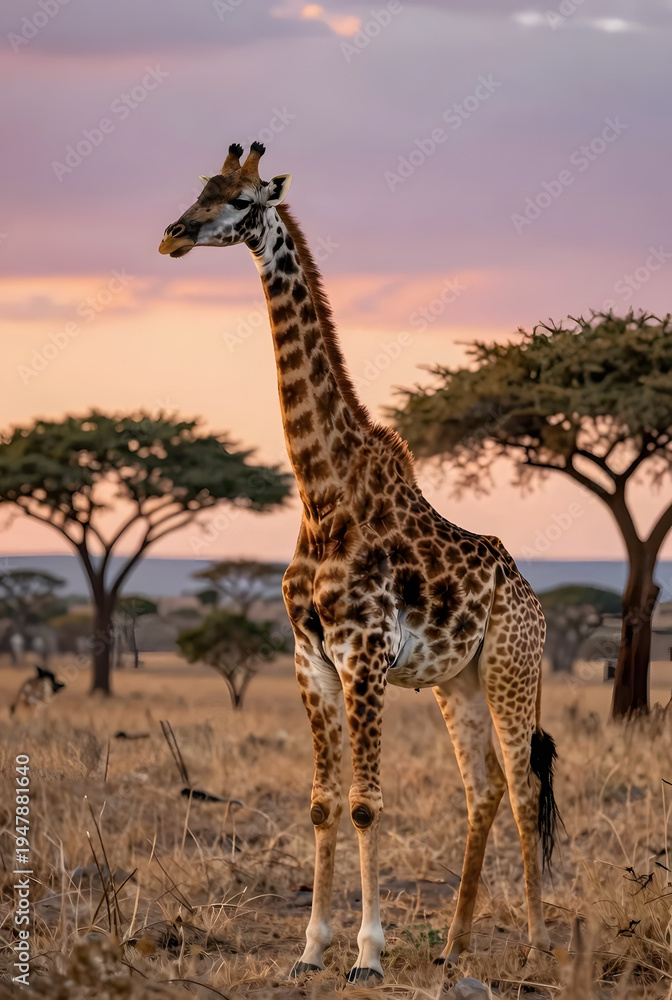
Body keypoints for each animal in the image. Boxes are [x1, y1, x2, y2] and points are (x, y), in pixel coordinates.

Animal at [159, 142, 561, 982]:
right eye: (200, 186)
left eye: (242, 201)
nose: (173, 235)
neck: (321, 495)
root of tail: (534, 600)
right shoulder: (310, 657)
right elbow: (320, 800)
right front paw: (311, 948)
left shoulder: (365, 657)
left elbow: (366, 801)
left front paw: (368, 955)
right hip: (456, 681)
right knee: (483, 789)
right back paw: (453, 945)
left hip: (512, 667)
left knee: (522, 785)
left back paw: (537, 943)